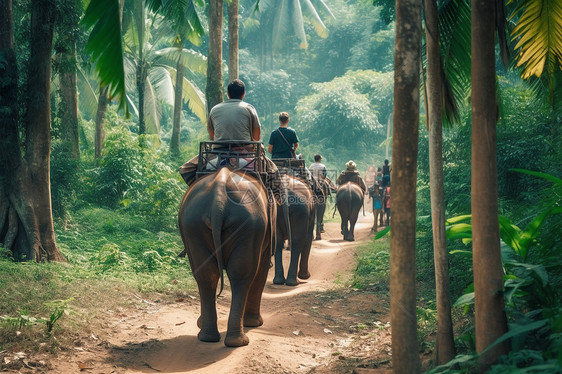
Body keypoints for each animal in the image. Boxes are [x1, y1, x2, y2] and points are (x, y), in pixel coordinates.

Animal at [177, 167, 274, 348]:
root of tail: (219, 197)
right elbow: (262, 267)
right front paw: (255, 323)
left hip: (194, 224)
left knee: (208, 274)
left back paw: (209, 336)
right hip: (249, 225)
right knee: (242, 274)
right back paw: (239, 340)